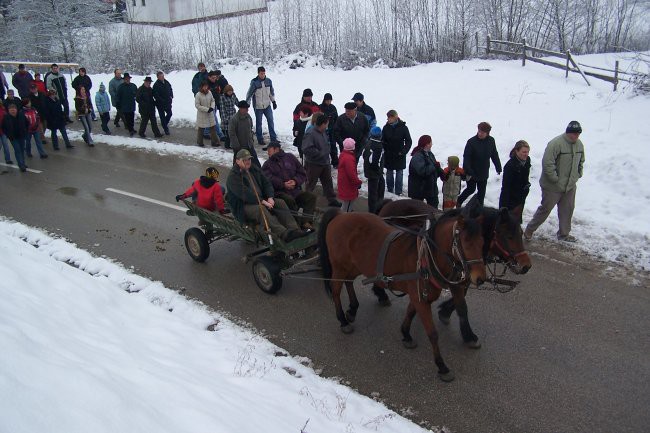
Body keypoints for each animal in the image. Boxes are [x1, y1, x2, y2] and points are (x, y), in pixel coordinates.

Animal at [316, 209, 484, 382]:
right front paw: (442, 366)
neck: (427, 257)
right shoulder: (420, 298)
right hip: (339, 265)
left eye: (482, 242)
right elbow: (432, 333)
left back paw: (352, 309)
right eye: (466, 242)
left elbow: (411, 311)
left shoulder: (418, 295)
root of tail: (341, 214)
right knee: (336, 290)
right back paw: (343, 320)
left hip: (354, 264)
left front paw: (406, 334)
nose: (480, 278)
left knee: (348, 281)